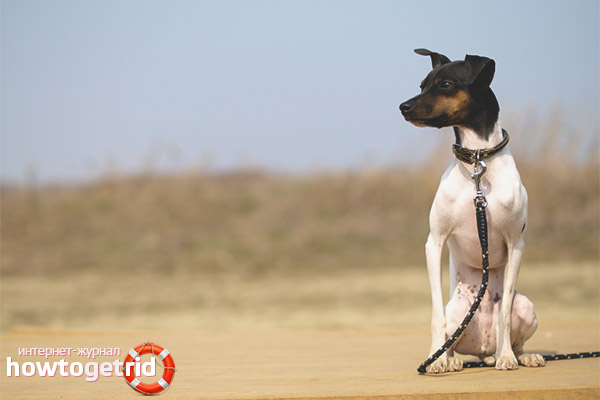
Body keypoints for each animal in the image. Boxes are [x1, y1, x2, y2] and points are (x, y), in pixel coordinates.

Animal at [399, 49, 545, 373]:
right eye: (421, 85)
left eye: (446, 84)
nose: (403, 106)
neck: (478, 162)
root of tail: (484, 349)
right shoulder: (434, 242)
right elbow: (435, 317)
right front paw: (435, 359)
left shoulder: (516, 244)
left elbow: (504, 315)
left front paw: (507, 358)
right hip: (457, 310)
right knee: (451, 336)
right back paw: (450, 359)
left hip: (527, 306)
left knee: (512, 332)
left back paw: (518, 355)